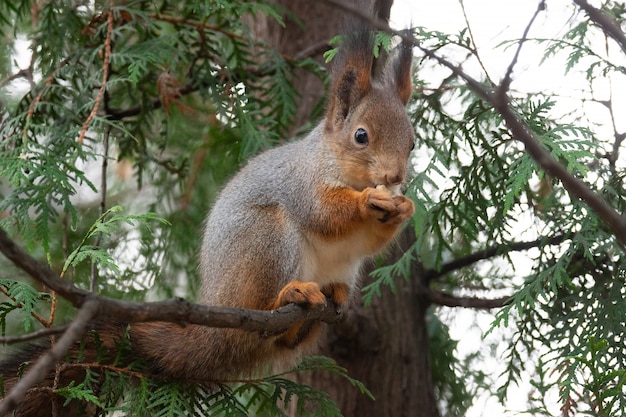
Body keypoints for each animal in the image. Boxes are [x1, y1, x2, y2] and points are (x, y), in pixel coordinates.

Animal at [0, 26, 414, 416]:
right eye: (360, 136)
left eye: (411, 142)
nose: (394, 177)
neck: (337, 164)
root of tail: (218, 315)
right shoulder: (302, 184)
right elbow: (324, 213)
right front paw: (368, 200)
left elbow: (370, 242)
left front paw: (404, 208)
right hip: (265, 241)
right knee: (266, 313)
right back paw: (290, 295)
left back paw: (330, 297)